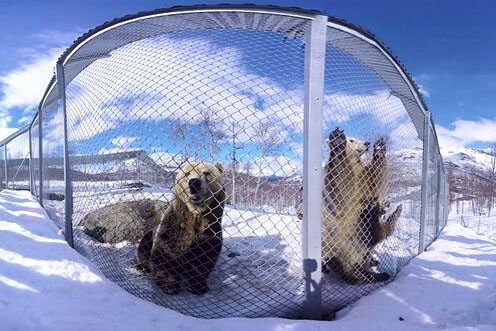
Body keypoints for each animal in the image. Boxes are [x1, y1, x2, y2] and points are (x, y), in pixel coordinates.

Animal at [138, 161, 227, 296]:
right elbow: (164, 253)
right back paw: (141, 266)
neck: (195, 215)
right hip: (149, 235)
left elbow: (204, 257)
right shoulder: (173, 226)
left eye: (206, 173)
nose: (194, 182)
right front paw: (170, 286)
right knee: (143, 247)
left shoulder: (210, 229)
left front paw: (198, 286)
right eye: (187, 173)